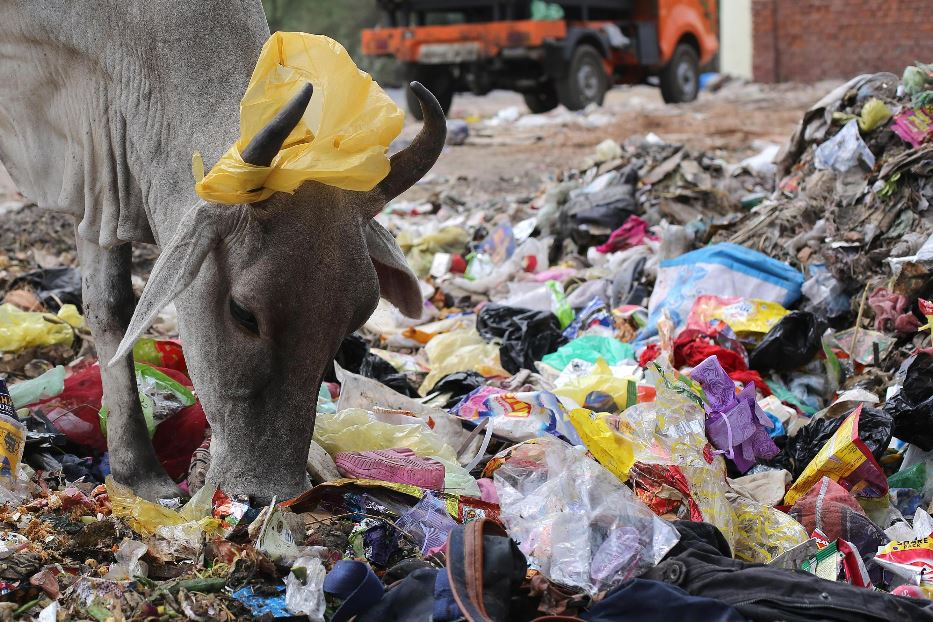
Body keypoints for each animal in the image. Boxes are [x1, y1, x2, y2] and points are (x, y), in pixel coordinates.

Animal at [0, 2, 444, 504]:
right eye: (243, 313)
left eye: (357, 318)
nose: (270, 493)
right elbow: (112, 307)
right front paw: (139, 472)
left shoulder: (102, 167)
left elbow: (109, 305)